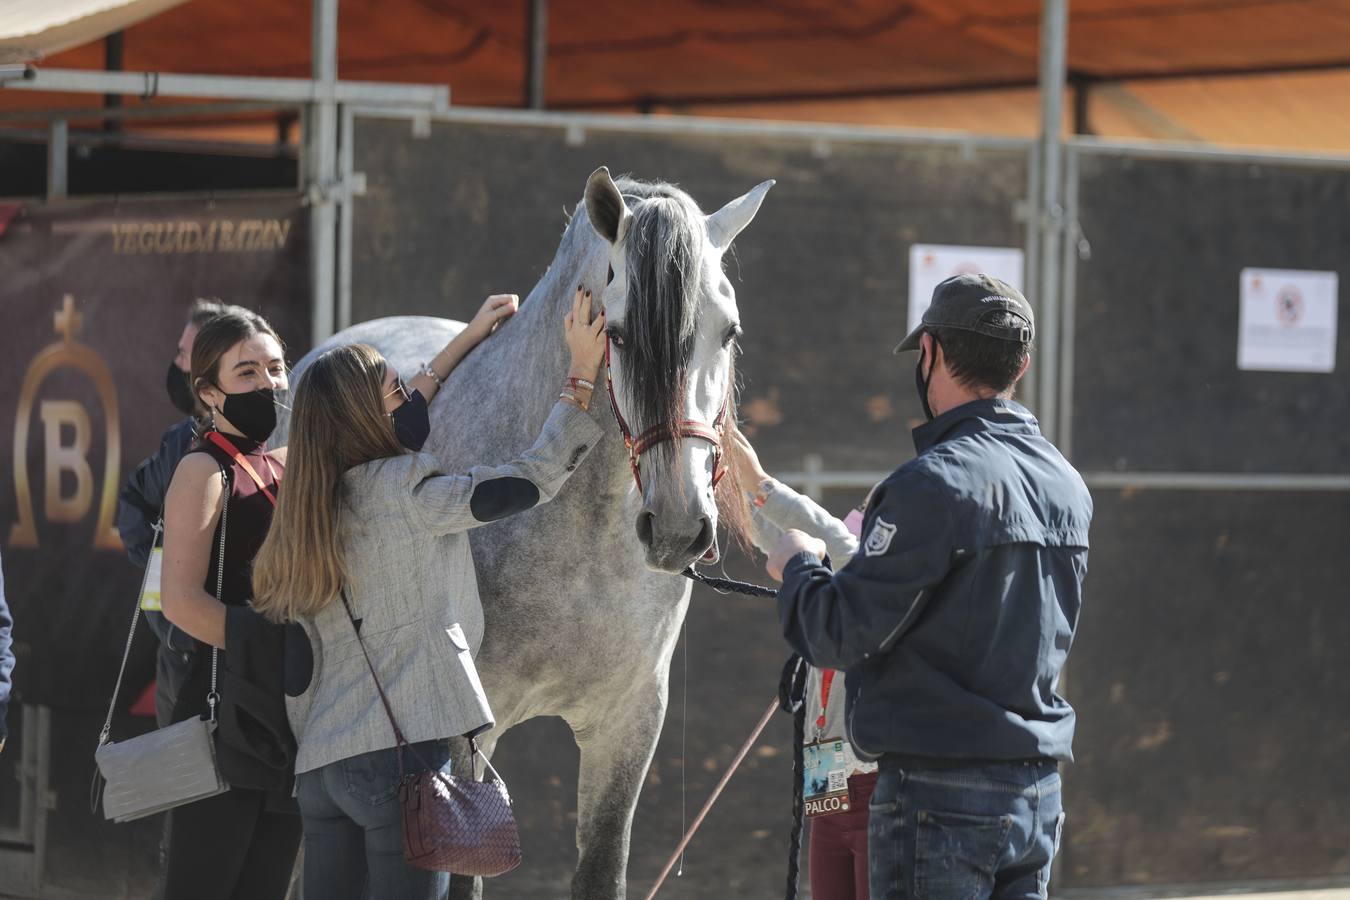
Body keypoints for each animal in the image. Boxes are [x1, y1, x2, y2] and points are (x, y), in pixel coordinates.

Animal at [279, 167, 772, 895]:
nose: (680, 527)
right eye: (617, 334)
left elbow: (600, 869)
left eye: (728, 333)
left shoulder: (628, 724)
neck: (583, 537)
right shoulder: (466, 737)